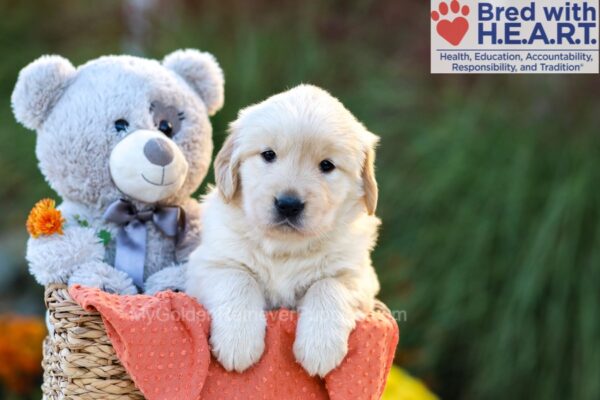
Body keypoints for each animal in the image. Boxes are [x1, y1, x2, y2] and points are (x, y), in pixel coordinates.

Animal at [186, 84, 380, 378]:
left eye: (327, 165)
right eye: (268, 155)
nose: (289, 204)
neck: (283, 248)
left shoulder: (359, 276)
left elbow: (328, 285)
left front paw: (320, 347)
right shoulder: (210, 264)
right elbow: (239, 279)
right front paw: (238, 342)